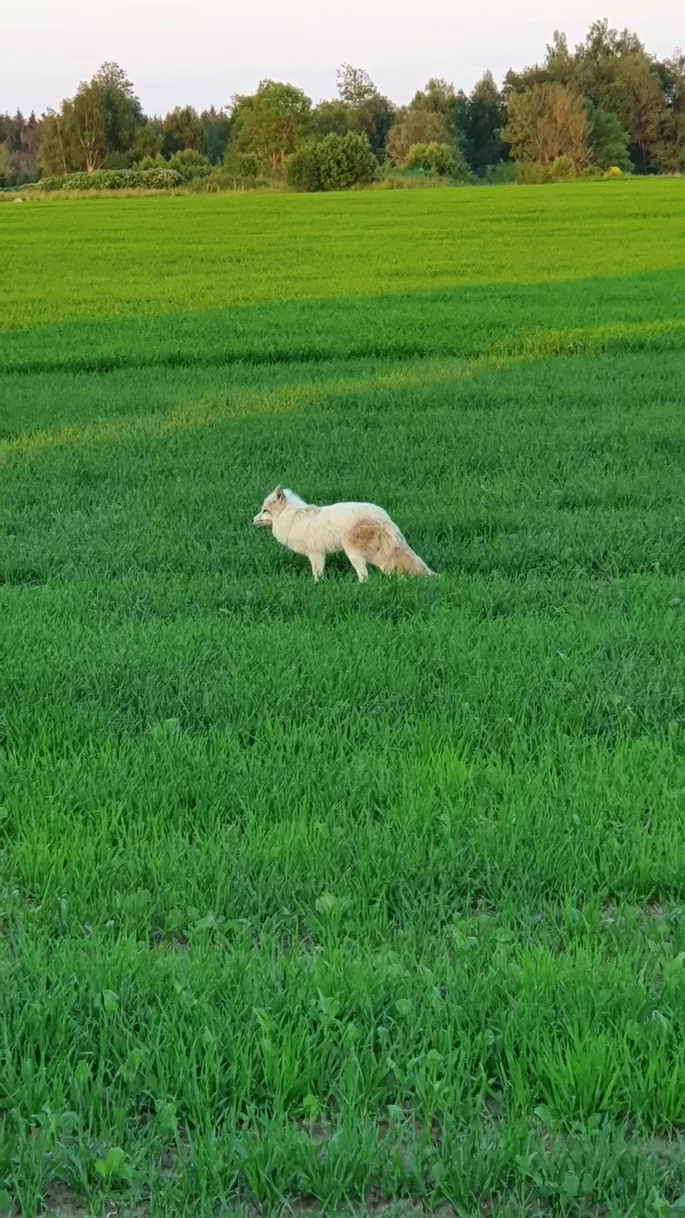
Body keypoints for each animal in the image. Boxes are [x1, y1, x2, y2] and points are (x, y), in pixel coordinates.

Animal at [251, 482, 431, 582]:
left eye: (264, 510)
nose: (251, 520)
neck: (293, 517)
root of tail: (385, 517)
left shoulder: (316, 554)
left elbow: (317, 576)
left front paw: (316, 586)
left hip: (352, 552)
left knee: (364, 576)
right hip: (377, 557)